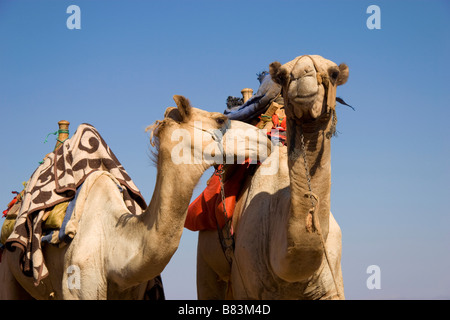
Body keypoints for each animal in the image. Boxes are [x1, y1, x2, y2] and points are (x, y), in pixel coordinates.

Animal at [0, 95, 268, 300]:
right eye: (220, 119)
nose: (265, 139)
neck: (113, 242)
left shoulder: (132, 291)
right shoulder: (77, 286)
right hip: (8, 268)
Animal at [196, 55, 348, 300]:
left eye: (334, 73)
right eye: (284, 76)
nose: (304, 76)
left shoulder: (331, 285)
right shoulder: (246, 286)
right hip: (206, 260)